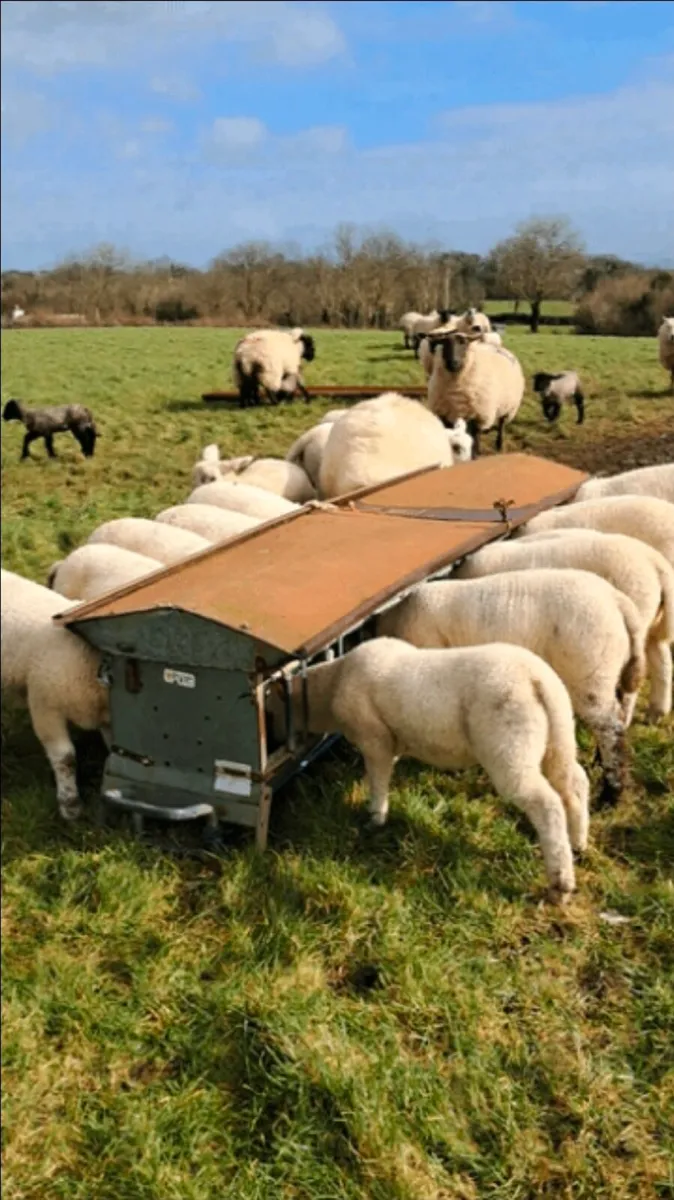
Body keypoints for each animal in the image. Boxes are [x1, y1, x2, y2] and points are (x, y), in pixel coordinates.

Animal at [268, 638, 590, 902]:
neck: (332, 684)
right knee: (574, 783)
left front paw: (375, 817)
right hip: (558, 736)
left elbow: (379, 778)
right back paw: (578, 843)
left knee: (546, 803)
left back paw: (560, 884)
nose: (273, 742)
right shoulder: (390, 740)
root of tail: (538, 678)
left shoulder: (374, 738)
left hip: (509, 743)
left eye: (272, 713)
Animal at [376, 568, 646, 805]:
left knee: (610, 730)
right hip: (608, 671)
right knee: (618, 716)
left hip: (589, 672)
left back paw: (611, 794)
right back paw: (601, 764)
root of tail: (618, 601)